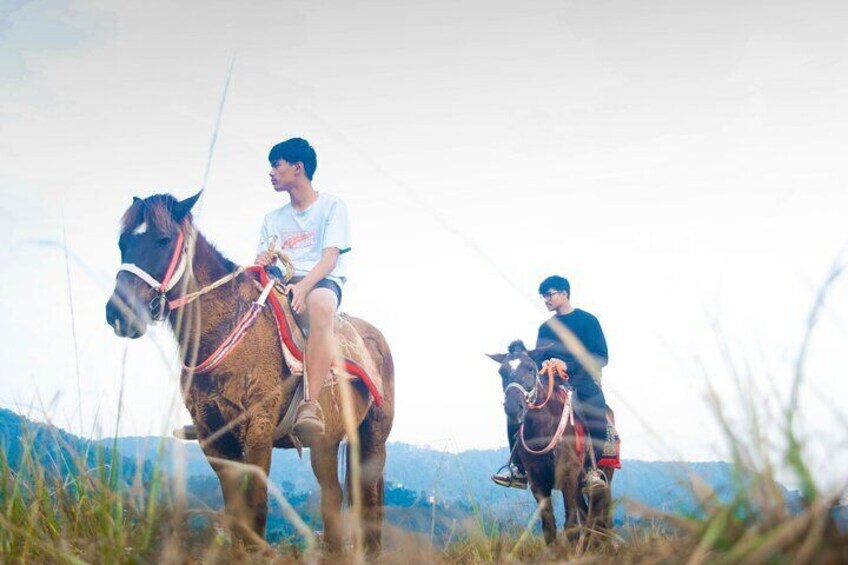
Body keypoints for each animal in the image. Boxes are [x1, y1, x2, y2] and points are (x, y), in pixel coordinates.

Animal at [105, 192, 394, 552]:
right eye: (122, 242)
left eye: (164, 239)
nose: (119, 313)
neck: (228, 329)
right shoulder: (213, 437)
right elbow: (236, 513)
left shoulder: (258, 429)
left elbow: (255, 507)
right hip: (326, 443)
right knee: (333, 496)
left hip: (373, 439)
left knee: (369, 504)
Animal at [486, 342, 612, 544]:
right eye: (501, 372)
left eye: (531, 368)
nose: (513, 408)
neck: (544, 429)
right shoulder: (538, 481)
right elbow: (549, 527)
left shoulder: (568, 477)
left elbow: (571, 527)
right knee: (588, 517)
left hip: (601, 479)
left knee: (598, 519)